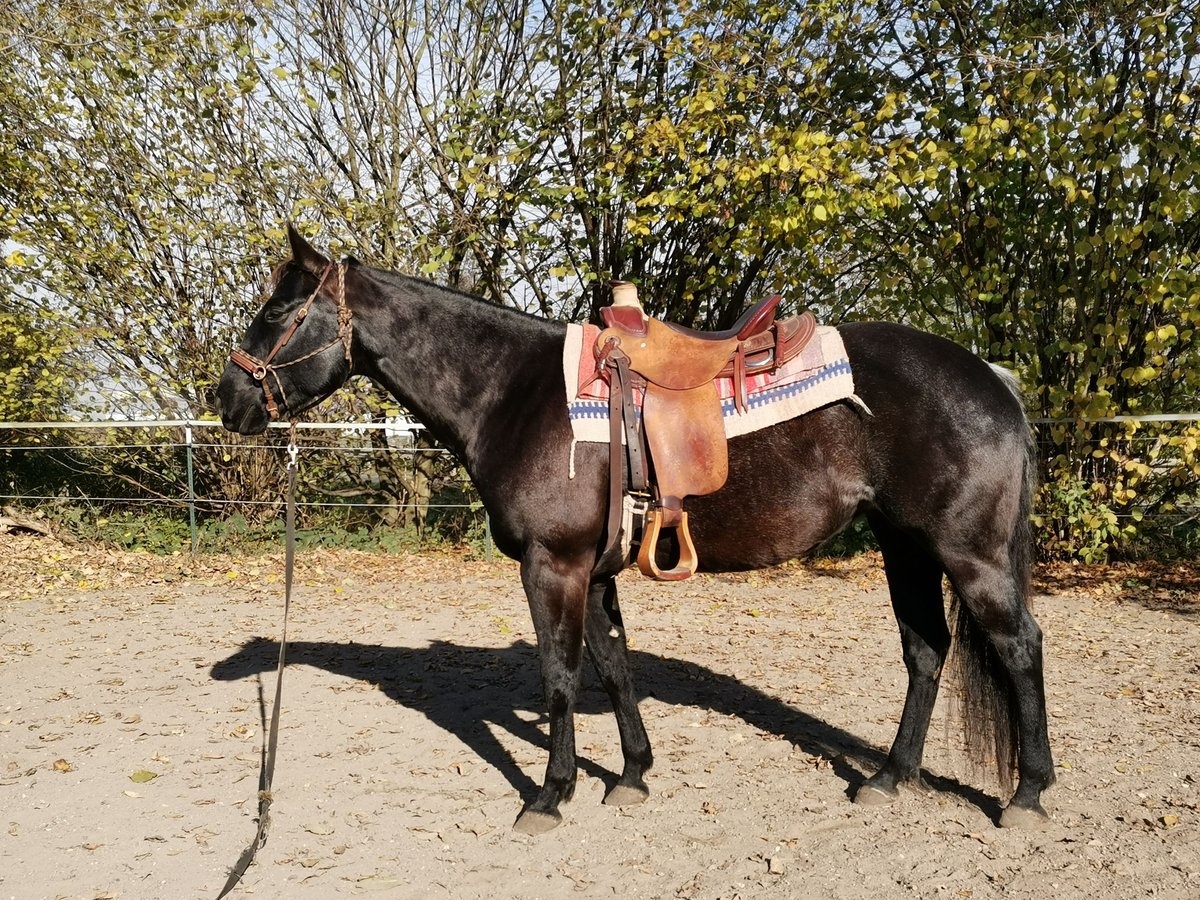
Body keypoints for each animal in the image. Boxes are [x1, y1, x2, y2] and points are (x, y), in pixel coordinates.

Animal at [216, 229, 1051, 835]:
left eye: (274, 314)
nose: (227, 402)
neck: (514, 392)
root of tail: (992, 376)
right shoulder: (595, 572)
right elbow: (613, 666)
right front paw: (633, 776)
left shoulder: (552, 567)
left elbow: (559, 676)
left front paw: (550, 796)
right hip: (904, 547)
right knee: (926, 652)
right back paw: (889, 778)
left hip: (967, 555)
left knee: (1018, 648)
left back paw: (1028, 793)